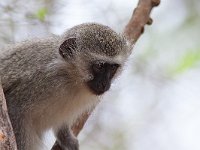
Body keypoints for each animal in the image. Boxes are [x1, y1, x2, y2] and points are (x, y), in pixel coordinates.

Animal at [0, 22, 131, 149]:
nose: (105, 84)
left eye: (113, 67)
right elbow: (14, 106)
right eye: (99, 66)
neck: (72, 78)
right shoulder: (39, 81)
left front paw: (66, 138)